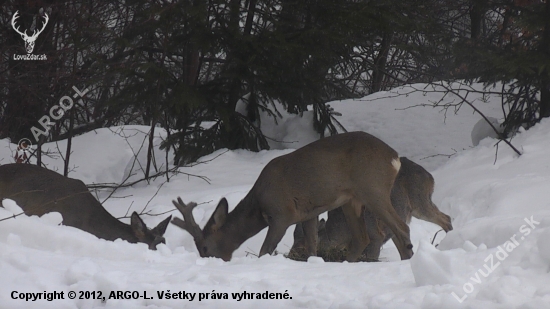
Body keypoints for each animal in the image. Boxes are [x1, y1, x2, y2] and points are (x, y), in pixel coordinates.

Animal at [171, 131, 414, 262]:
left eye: (204, 247)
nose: (207, 260)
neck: (258, 204)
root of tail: (394, 158)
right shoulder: (308, 213)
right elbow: (312, 245)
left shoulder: (282, 214)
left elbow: (264, 250)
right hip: (351, 200)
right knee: (362, 237)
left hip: (373, 188)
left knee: (401, 226)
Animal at [292, 156, 454, 260]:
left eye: (302, 248)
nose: (290, 254)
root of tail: (430, 177)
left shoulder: (375, 235)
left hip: (420, 202)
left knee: (446, 218)